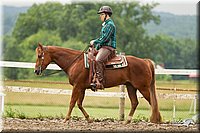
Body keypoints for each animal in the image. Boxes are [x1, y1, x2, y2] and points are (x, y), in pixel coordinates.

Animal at [34, 43, 162, 124]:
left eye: (40, 55)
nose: (36, 71)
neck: (75, 62)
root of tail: (145, 61)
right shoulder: (82, 88)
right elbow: (79, 103)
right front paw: (89, 119)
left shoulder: (77, 86)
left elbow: (72, 102)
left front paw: (66, 119)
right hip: (131, 87)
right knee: (135, 103)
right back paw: (127, 121)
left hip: (143, 87)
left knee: (152, 101)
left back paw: (157, 120)